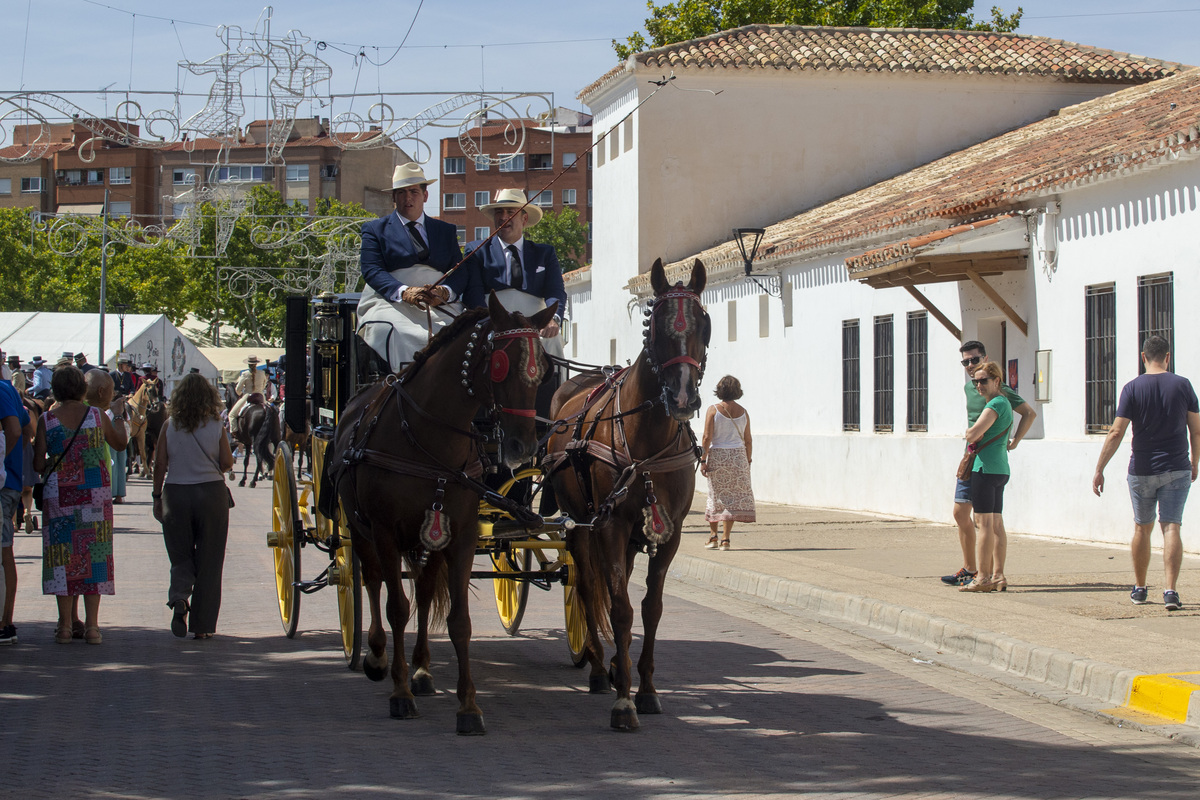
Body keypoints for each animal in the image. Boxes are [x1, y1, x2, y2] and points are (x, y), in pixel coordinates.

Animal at [326, 292, 554, 734]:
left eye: (543, 370)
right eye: (500, 364)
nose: (523, 446)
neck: (427, 440)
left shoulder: (460, 534)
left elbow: (458, 621)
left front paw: (468, 707)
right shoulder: (385, 531)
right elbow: (397, 608)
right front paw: (400, 694)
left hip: (427, 537)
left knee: (426, 588)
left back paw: (422, 671)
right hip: (360, 529)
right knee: (372, 582)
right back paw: (377, 656)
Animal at [549, 257, 705, 734]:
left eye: (703, 323)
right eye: (655, 325)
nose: (682, 396)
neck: (645, 436)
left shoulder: (669, 533)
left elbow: (650, 608)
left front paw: (647, 689)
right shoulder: (610, 525)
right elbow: (618, 608)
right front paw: (623, 702)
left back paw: (618, 665)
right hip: (580, 526)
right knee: (586, 587)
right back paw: (601, 668)